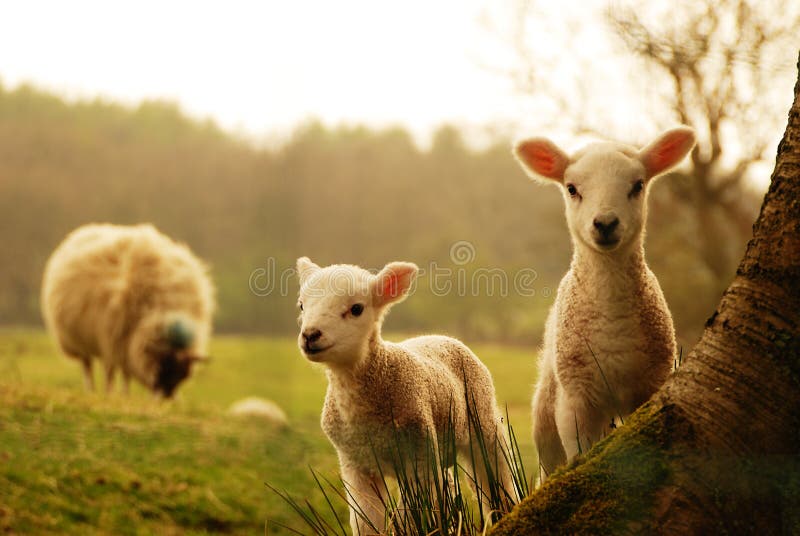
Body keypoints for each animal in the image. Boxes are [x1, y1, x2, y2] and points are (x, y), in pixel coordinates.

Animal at [40, 223, 216, 398]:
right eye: (163, 365)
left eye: (183, 374)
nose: (165, 399)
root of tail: (85, 230)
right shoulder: (112, 339)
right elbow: (112, 372)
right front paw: (111, 394)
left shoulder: (126, 344)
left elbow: (126, 373)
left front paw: (125, 395)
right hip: (77, 341)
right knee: (87, 366)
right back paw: (91, 390)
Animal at [296, 258, 516, 532]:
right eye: (302, 305)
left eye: (356, 308)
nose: (310, 335)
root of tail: (441, 336)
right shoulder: (356, 465)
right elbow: (366, 522)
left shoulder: (418, 458)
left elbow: (410, 518)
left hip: (482, 420)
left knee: (497, 478)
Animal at [516, 127, 696, 480]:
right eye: (572, 189)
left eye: (637, 185)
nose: (605, 223)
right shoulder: (576, 399)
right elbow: (578, 454)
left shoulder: (649, 386)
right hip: (546, 409)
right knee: (548, 464)